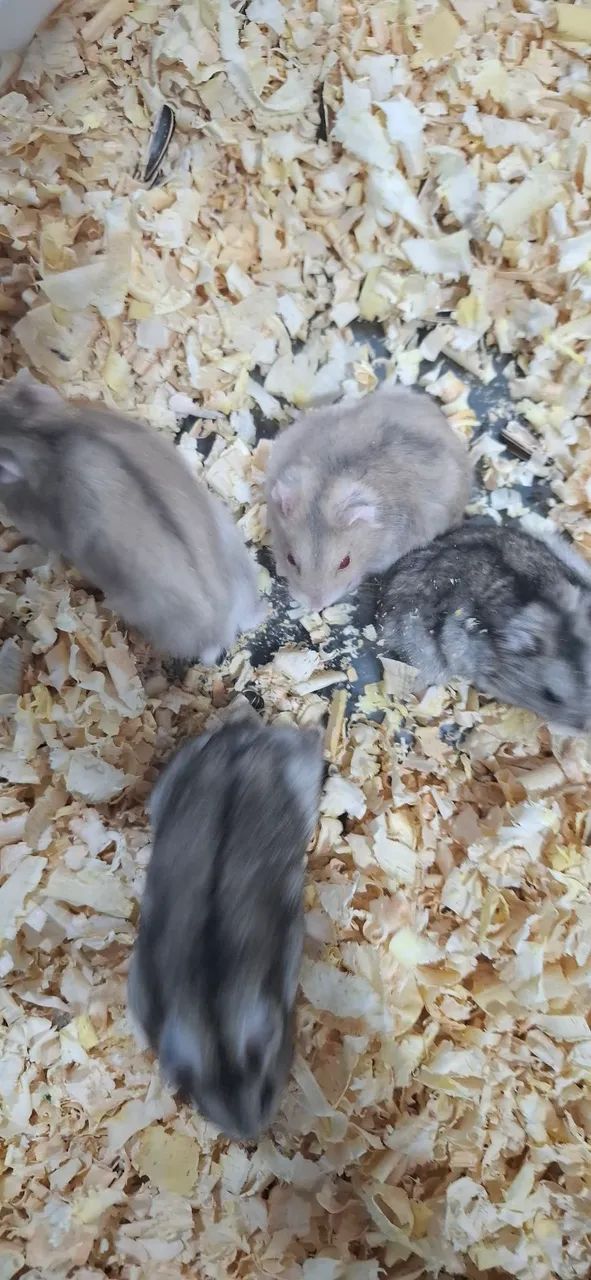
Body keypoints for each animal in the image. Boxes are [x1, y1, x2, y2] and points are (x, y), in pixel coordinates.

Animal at [128, 718, 324, 1141]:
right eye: (201, 1104)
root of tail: (245, 738)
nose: (250, 1136)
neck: (211, 1020)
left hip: (301, 770)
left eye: (266, 1091)